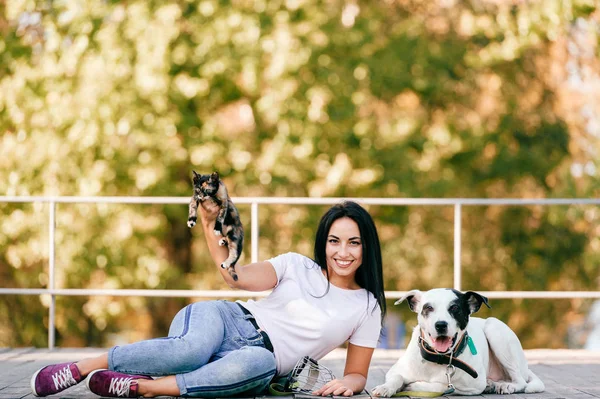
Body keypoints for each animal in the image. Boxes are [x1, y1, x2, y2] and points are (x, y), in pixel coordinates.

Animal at [370, 290, 544, 396]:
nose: (441, 325)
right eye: (428, 308)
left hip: (495, 329)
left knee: (520, 381)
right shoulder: (394, 371)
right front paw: (385, 387)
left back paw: (506, 385)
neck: (438, 359)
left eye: (455, 308)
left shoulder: (470, 386)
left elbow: (443, 385)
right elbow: (396, 378)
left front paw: (415, 385)